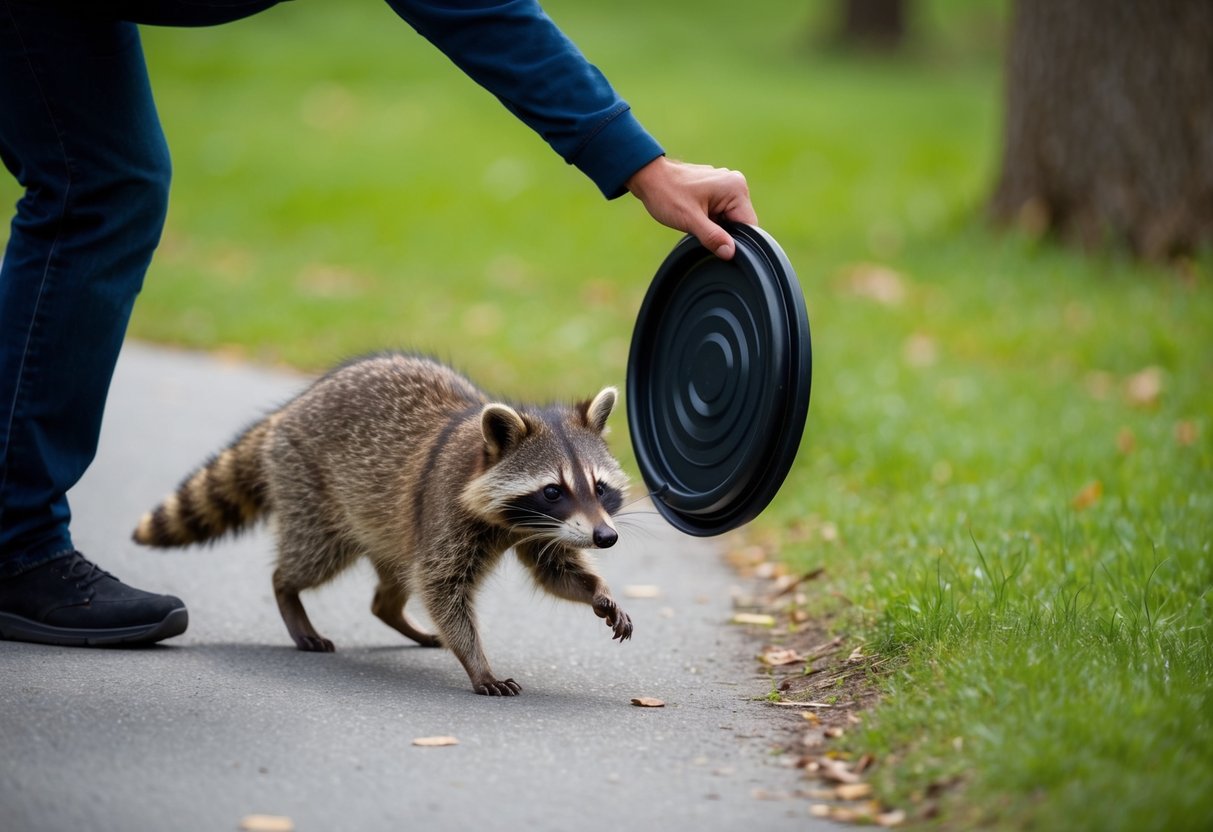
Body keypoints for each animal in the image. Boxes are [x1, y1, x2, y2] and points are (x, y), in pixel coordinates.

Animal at [132, 352, 633, 696]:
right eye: (553, 490)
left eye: (600, 486)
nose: (606, 538)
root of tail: (289, 408)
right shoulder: (446, 511)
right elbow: (440, 586)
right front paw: (477, 661)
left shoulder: (538, 529)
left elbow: (556, 570)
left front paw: (598, 591)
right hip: (310, 487)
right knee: (311, 558)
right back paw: (287, 591)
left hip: (390, 525)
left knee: (390, 585)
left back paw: (393, 612)